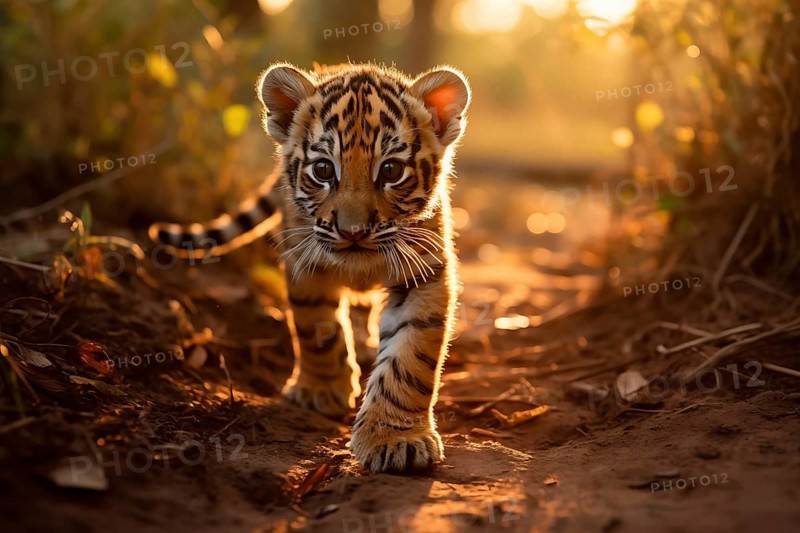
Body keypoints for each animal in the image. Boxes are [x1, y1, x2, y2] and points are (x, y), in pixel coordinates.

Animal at [149, 62, 471, 473]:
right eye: (322, 170)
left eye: (391, 170)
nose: (353, 231)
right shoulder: (306, 263)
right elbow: (317, 330)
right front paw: (320, 390)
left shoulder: (423, 274)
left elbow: (409, 361)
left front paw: (395, 438)